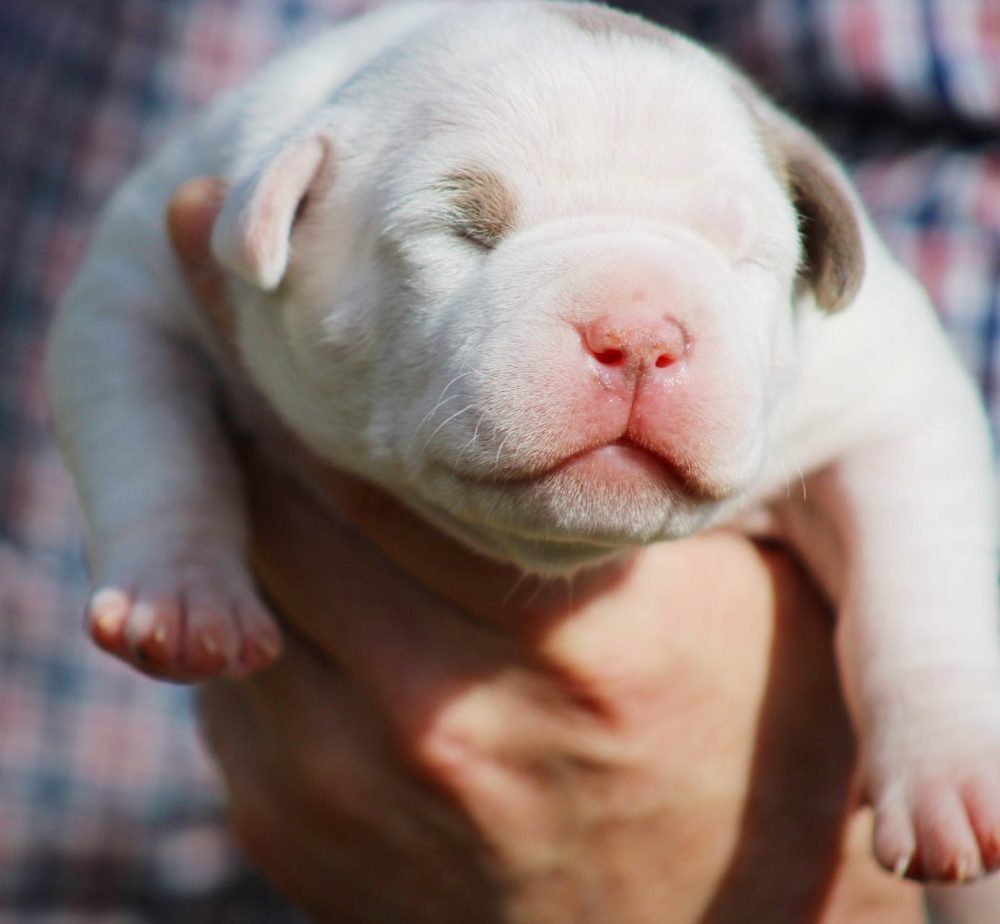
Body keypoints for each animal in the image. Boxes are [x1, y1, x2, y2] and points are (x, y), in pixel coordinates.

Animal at [45, 0, 1000, 896]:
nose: (638, 335)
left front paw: (953, 774)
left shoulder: (891, 391)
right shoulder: (135, 281)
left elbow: (920, 582)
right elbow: (152, 444)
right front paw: (179, 602)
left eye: (744, 254)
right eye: (462, 229)